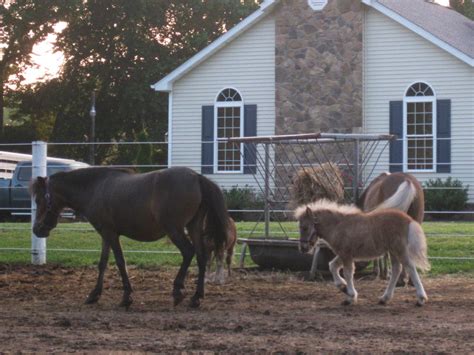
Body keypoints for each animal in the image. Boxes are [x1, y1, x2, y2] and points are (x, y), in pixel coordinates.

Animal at [30, 167, 229, 308]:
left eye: (40, 199)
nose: (37, 229)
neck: (95, 189)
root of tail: (197, 177)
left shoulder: (110, 233)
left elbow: (120, 262)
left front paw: (126, 297)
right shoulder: (105, 234)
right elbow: (102, 263)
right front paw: (94, 295)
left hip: (174, 229)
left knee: (188, 252)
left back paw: (178, 291)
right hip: (193, 227)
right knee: (202, 257)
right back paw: (196, 297)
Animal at [298, 202, 432, 308]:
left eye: (304, 227)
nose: (303, 248)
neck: (338, 226)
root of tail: (409, 220)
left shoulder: (346, 254)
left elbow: (348, 273)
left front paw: (350, 296)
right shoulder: (344, 254)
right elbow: (333, 266)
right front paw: (343, 287)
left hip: (399, 249)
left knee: (410, 267)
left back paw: (421, 299)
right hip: (392, 251)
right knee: (396, 269)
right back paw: (384, 298)